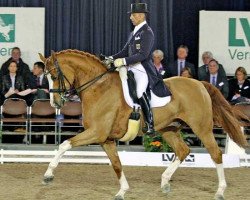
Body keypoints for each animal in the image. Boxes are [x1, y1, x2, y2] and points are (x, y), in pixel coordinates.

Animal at [39, 49, 248, 200]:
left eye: (54, 76)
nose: (55, 104)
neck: (99, 87)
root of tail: (199, 84)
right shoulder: (106, 139)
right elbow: (116, 164)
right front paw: (122, 191)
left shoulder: (97, 132)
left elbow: (64, 144)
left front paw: (48, 175)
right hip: (169, 129)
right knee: (183, 151)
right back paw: (165, 182)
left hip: (201, 128)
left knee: (215, 153)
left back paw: (220, 191)